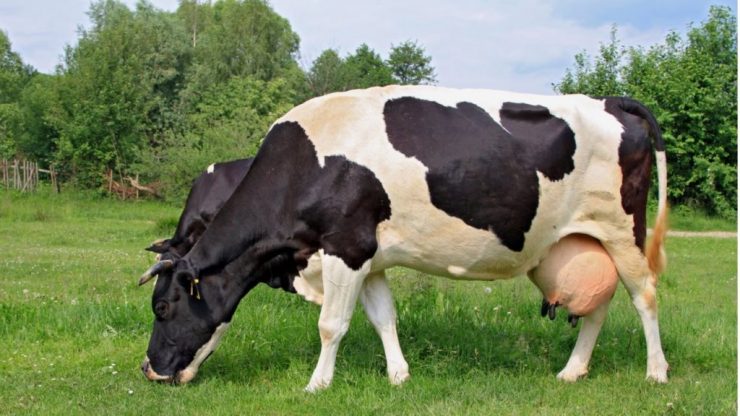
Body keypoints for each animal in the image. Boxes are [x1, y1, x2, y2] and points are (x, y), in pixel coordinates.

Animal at [139, 86, 669, 391]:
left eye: (162, 307)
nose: (149, 369)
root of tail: (608, 100)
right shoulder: (369, 256)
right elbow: (383, 318)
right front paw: (398, 375)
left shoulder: (345, 246)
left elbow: (332, 324)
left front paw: (317, 385)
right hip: (584, 240)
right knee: (597, 304)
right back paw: (572, 370)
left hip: (624, 230)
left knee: (644, 295)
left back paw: (656, 372)